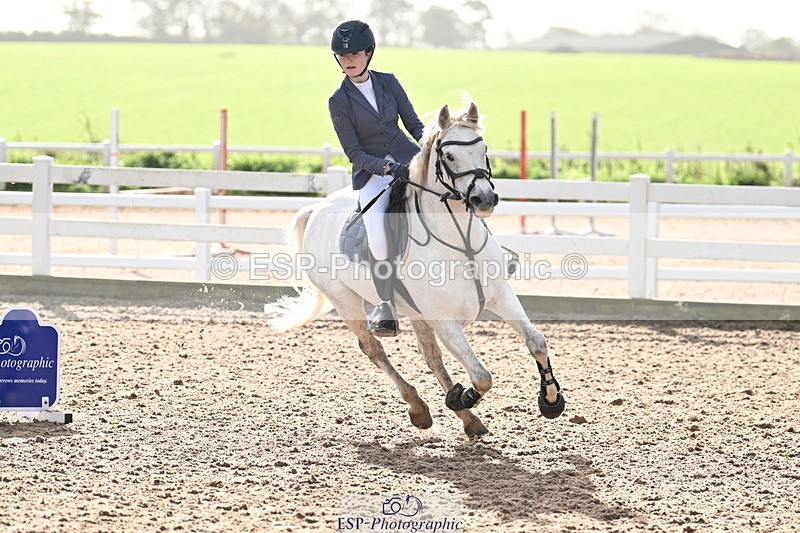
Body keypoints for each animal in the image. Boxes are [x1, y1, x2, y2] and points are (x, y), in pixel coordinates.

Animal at [265, 101, 565, 438]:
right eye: (449, 156)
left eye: (484, 149)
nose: (484, 199)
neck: (460, 242)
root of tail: (316, 209)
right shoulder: (445, 320)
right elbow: (482, 376)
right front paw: (463, 397)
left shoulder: (501, 296)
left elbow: (536, 341)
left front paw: (551, 400)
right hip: (346, 302)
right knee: (373, 348)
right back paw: (421, 407)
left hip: (415, 311)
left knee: (430, 356)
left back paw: (468, 419)